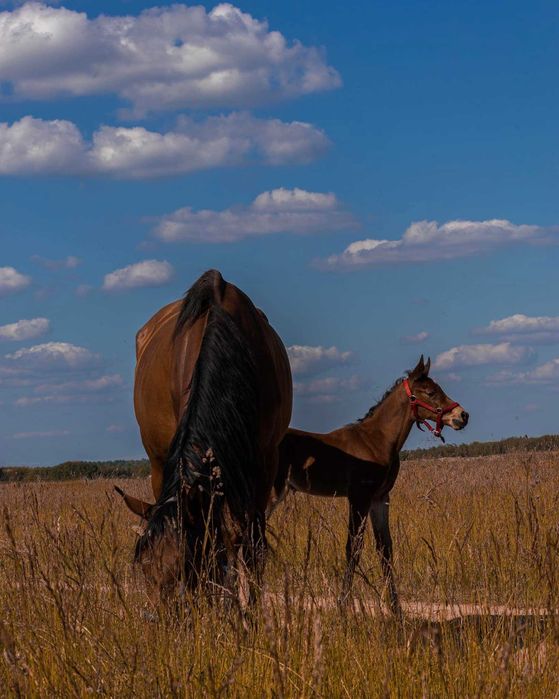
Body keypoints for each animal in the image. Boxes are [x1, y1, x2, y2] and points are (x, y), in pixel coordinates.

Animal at [117, 270, 294, 604]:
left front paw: (248, 604)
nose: (166, 614)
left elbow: (250, 541)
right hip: (159, 462)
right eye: (145, 570)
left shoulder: (265, 462)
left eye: (184, 566)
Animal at [270, 358, 470, 616]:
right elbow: (353, 548)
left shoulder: (380, 498)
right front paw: (342, 607)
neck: (376, 441)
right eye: (430, 392)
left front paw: (396, 610)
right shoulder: (359, 497)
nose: (462, 415)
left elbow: (385, 550)